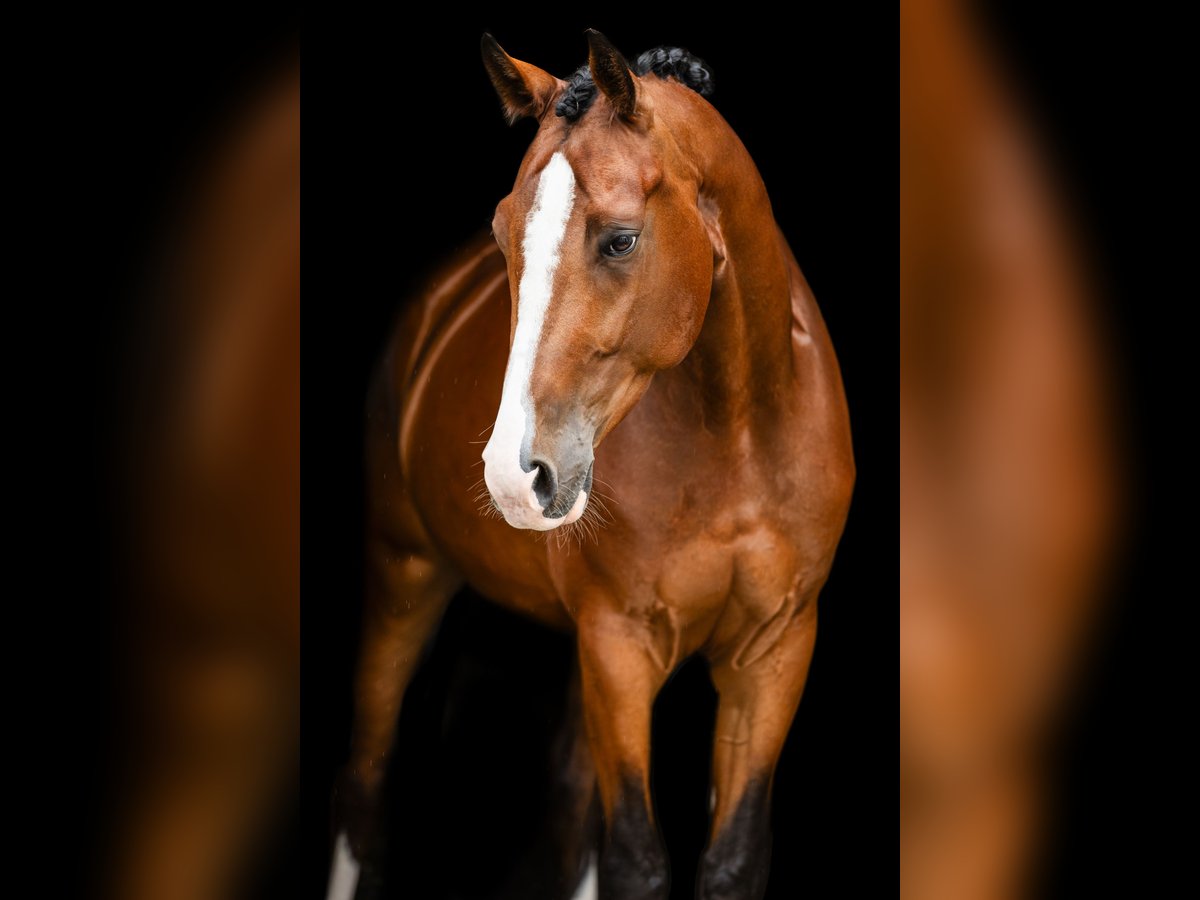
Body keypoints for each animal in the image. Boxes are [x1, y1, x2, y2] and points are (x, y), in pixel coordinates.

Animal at [328, 31, 854, 900]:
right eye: (504, 231)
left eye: (621, 238)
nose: (516, 476)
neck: (739, 437)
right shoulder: (620, 644)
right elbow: (635, 859)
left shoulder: (774, 651)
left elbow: (731, 859)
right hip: (403, 580)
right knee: (364, 795)